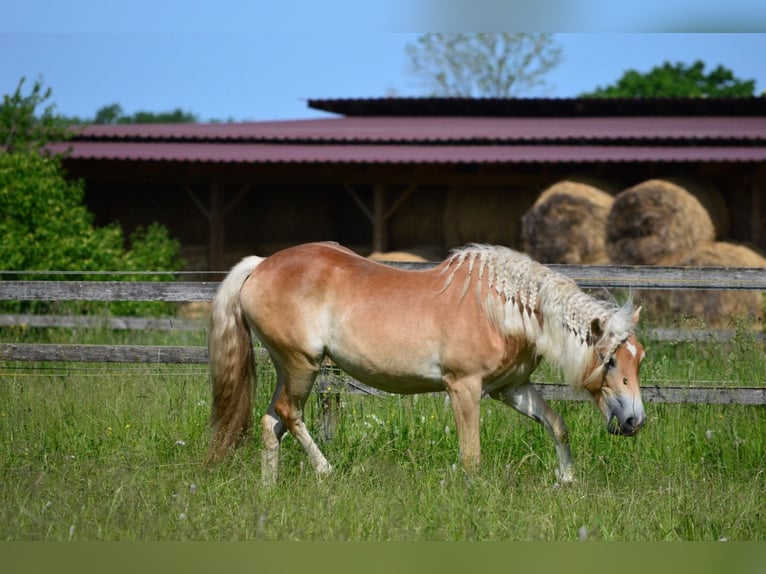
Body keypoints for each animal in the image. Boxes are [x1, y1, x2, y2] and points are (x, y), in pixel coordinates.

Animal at [206, 240, 648, 486]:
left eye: (639, 359)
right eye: (611, 361)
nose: (634, 420)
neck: (501, 310)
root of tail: (260, 264)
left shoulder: (510, 389)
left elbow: (557, 425)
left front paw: (567, 481)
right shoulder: (464, 387)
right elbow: (471, 455)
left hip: (290, 369)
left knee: (271, 423)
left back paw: (270, 490)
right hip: (303, 365)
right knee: (289, 414)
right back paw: (326, 471)